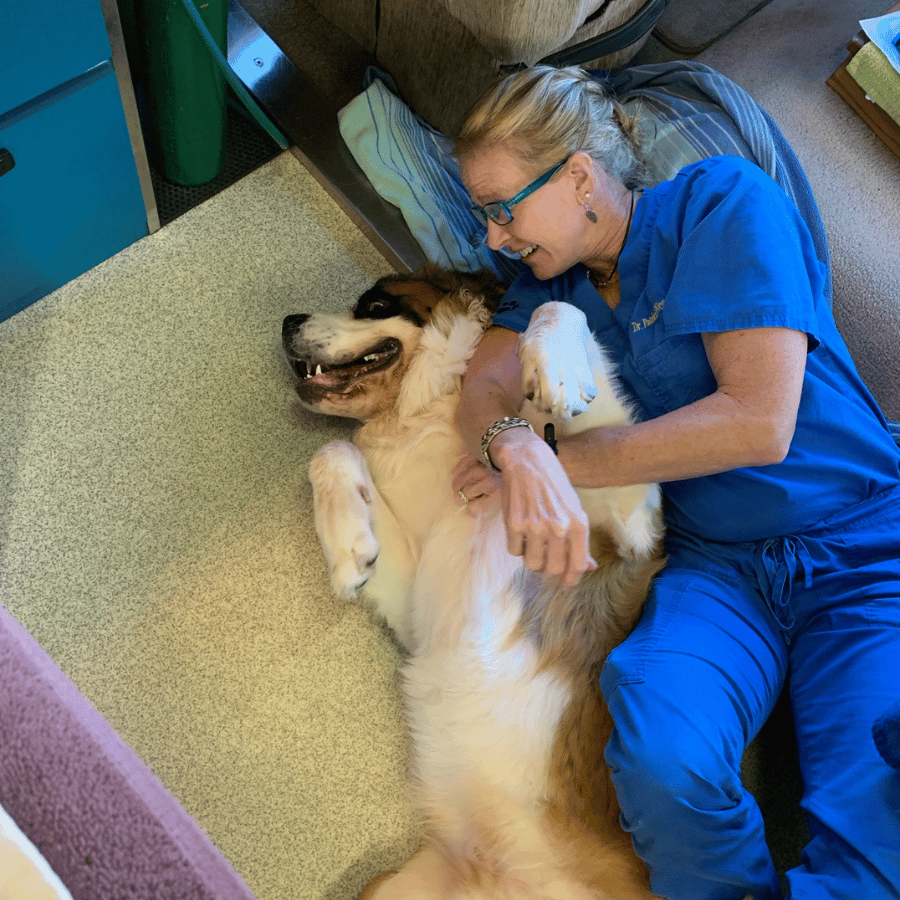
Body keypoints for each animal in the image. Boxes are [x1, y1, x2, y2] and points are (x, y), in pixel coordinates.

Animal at [282, 268, 668, 900]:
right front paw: (347, 550)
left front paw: (556, 370)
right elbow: (332, 450)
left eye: (376, 305)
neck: (431, 414)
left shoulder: (626, 531)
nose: (288, 321)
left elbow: (558, 311)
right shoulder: (416, 607)